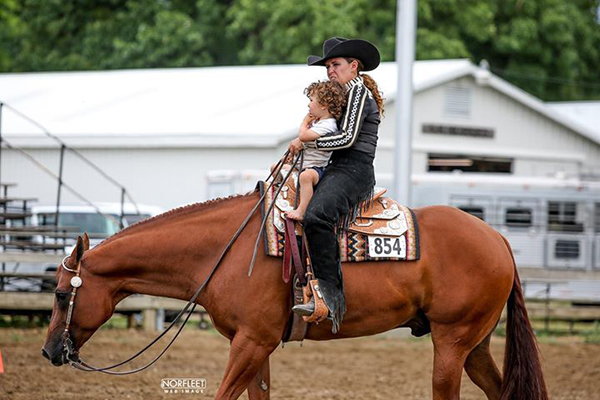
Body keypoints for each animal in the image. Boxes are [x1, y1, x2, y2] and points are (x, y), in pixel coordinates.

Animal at [42, 191, 548, 400]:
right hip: (473, 345)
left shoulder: (251, 343)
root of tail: (498, 239)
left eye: (62, 295)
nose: (49, 352)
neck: (226, 249)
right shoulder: (254, 344)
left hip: (451, 344)